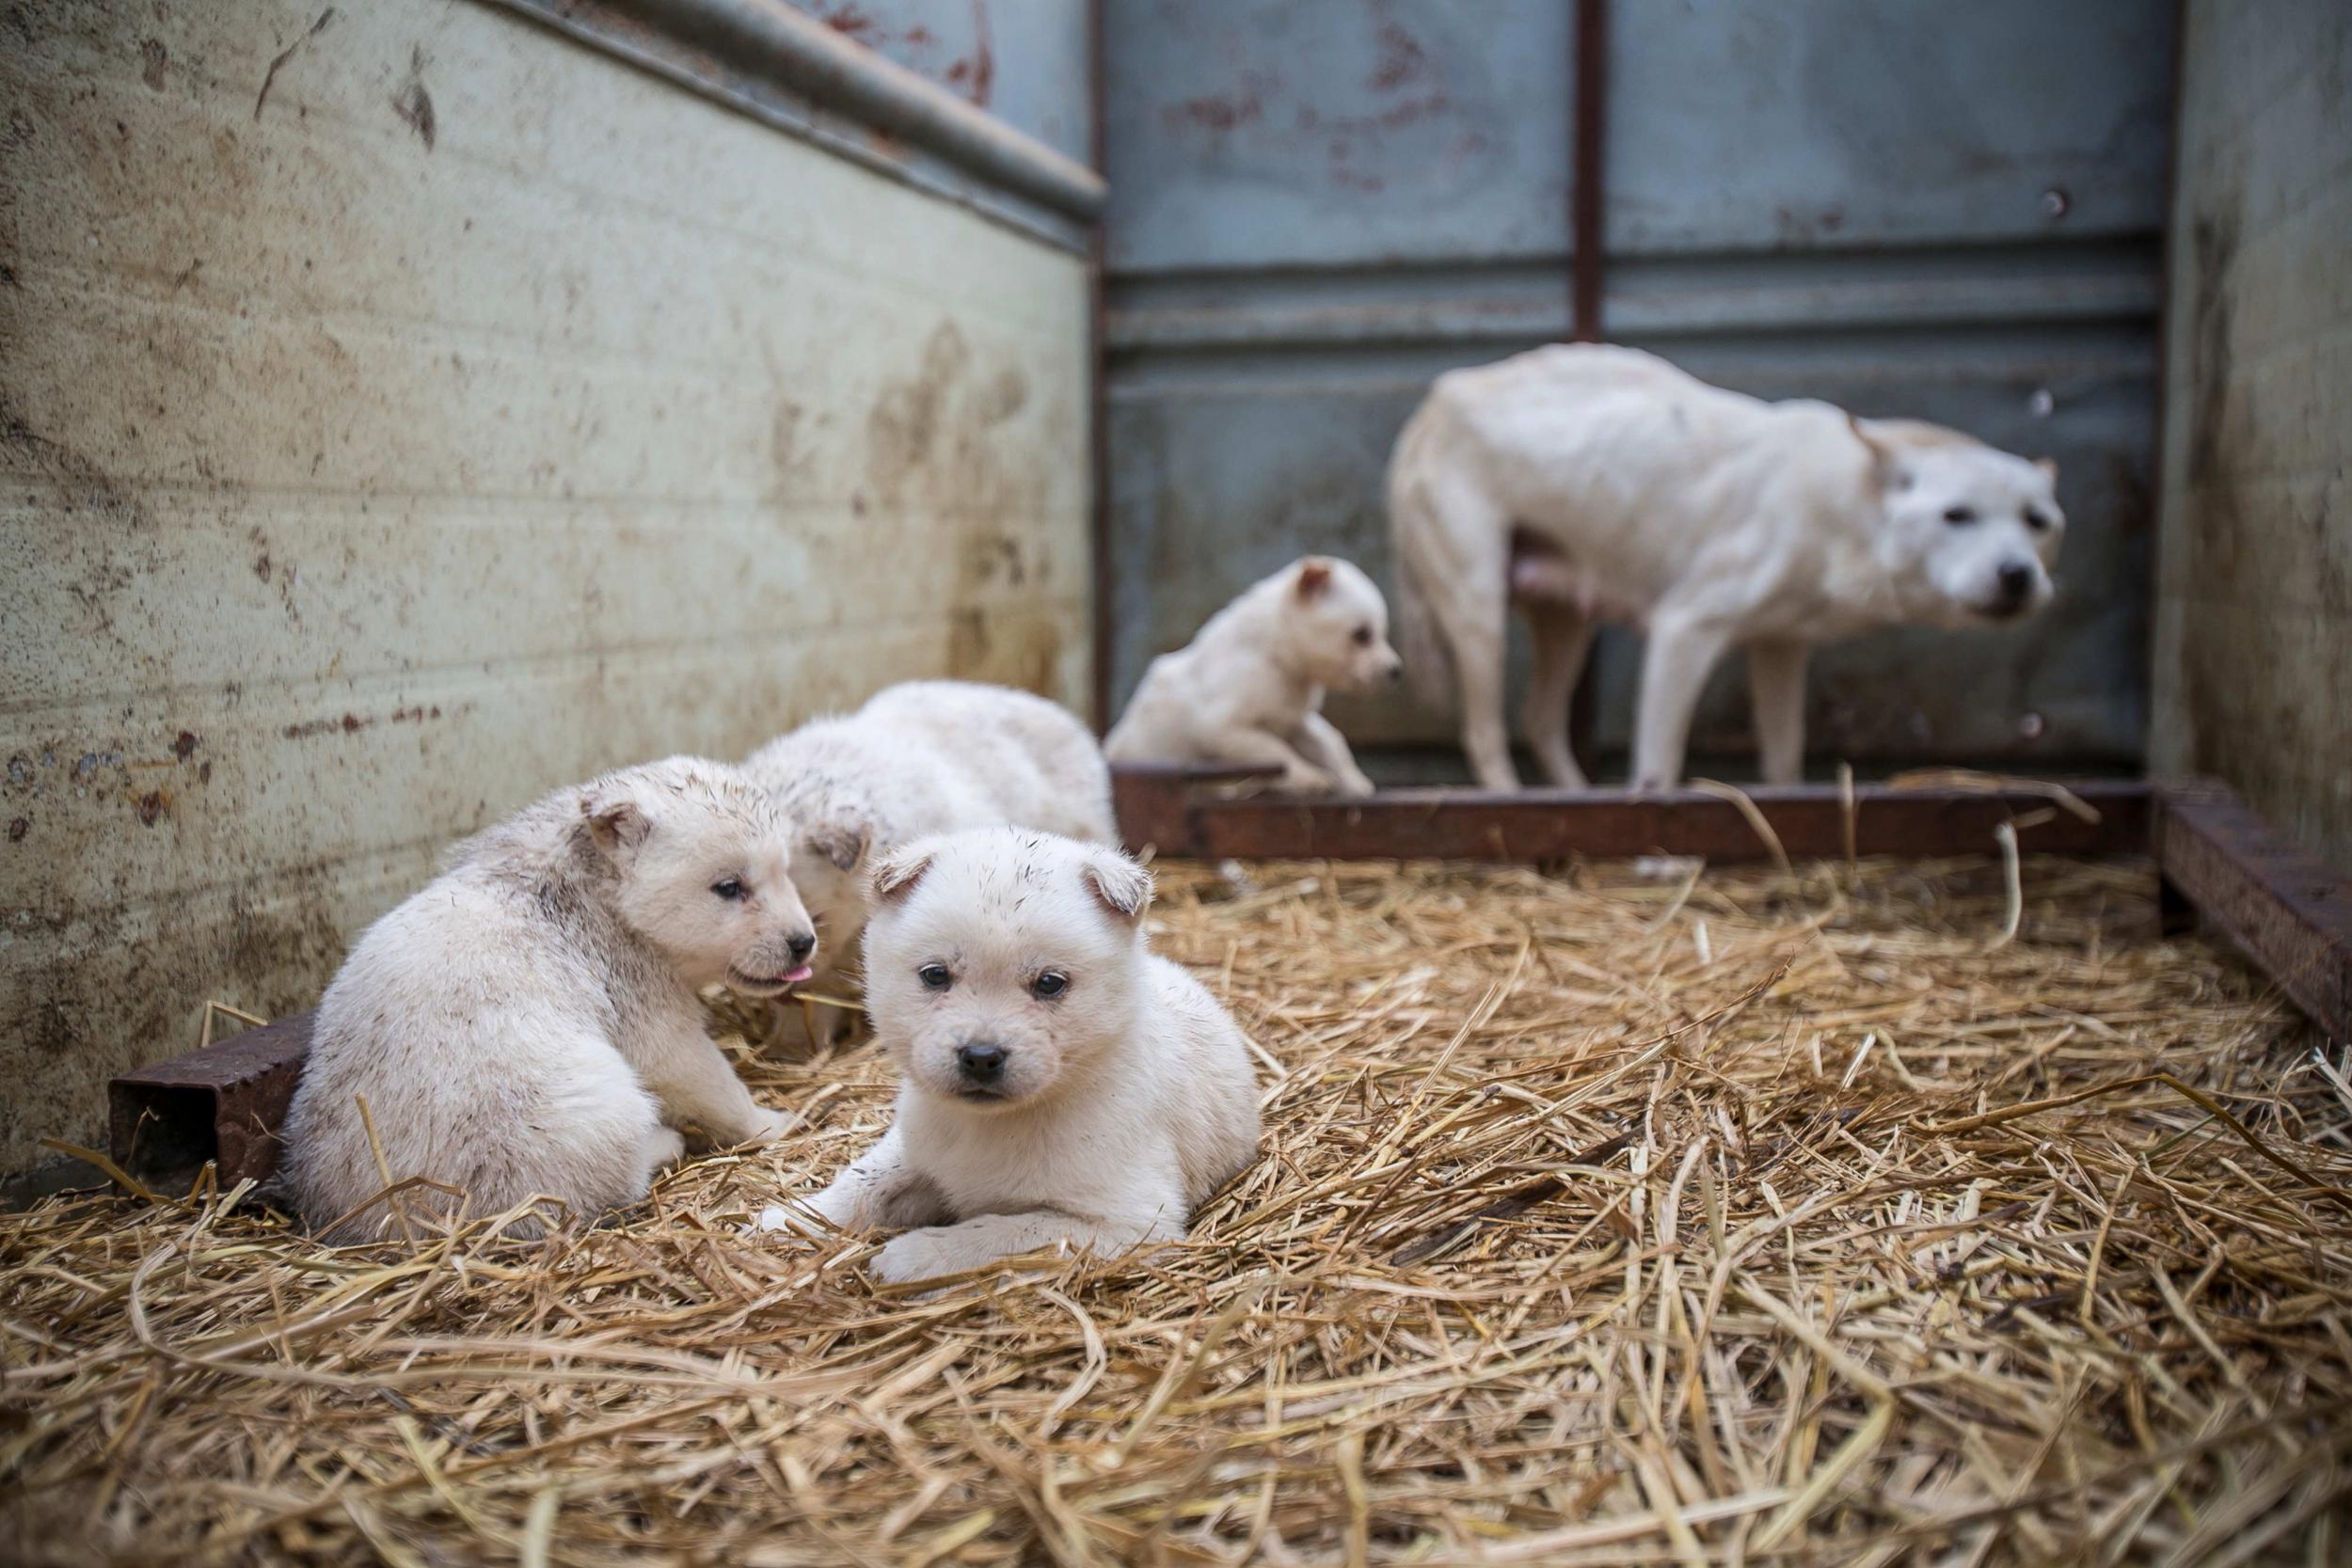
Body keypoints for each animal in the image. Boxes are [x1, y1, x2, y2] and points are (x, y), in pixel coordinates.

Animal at [282, 752, 818, 1241]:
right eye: (728, 886)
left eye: (786, 871)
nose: (803, 941)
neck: (596, 894)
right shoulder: (636, 994)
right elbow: (700, 1076)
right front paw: (773, 1120)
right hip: (574, 1115)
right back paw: (662, 1144)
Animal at [762, 827, 1261, 1278]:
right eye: (935, 975)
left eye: (1050, 983)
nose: (981, 1056)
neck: (991, 1125)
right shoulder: (914, 1145)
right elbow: (866, 1179)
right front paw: (789, 1217)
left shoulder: (1130, 1222)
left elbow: (1001, 1232)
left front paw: (914, 1255)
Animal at [1105, 554, 1402, 799]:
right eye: (1362, 635)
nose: (1396, 671)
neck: (1276, 657)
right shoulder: (1224, 727)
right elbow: (1275, 752)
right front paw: (1308, 778)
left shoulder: (1294, 721)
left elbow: (1329, 742)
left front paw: (1353, 780)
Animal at [1383, 338, 2070, 789]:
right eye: (1958, 515)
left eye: (2037, 521)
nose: (2017, 575)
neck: (1841, 511)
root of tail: (1434, 401)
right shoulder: (1683, 630)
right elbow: (1659, 766)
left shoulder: (1781, 646)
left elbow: (1785, 758)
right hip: (1479, 614)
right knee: (1484, 735)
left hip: (1568, 623)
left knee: (1540, 721)